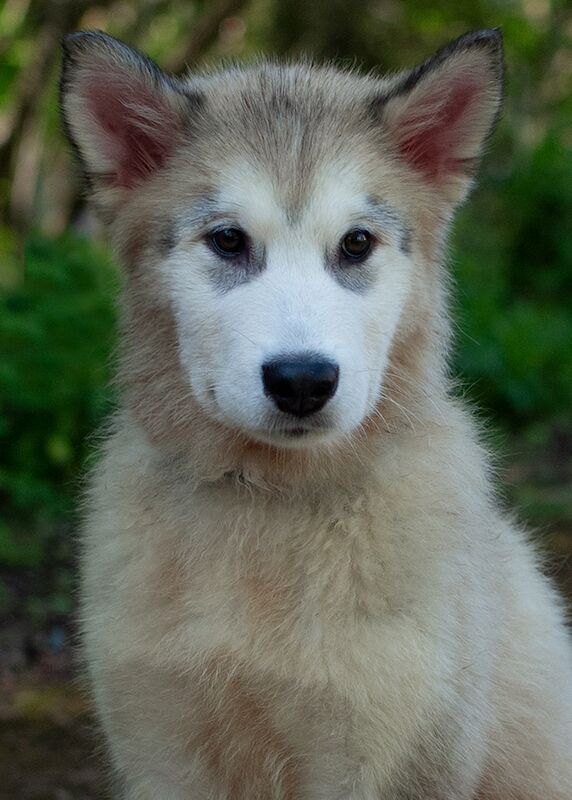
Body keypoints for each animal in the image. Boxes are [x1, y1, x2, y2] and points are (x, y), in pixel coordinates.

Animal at [60, 29, 568, 800]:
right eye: (228, 240)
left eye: (356, 243)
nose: (302, 380)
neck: (266, 501)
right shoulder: (160, 743)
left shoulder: (384, 755)